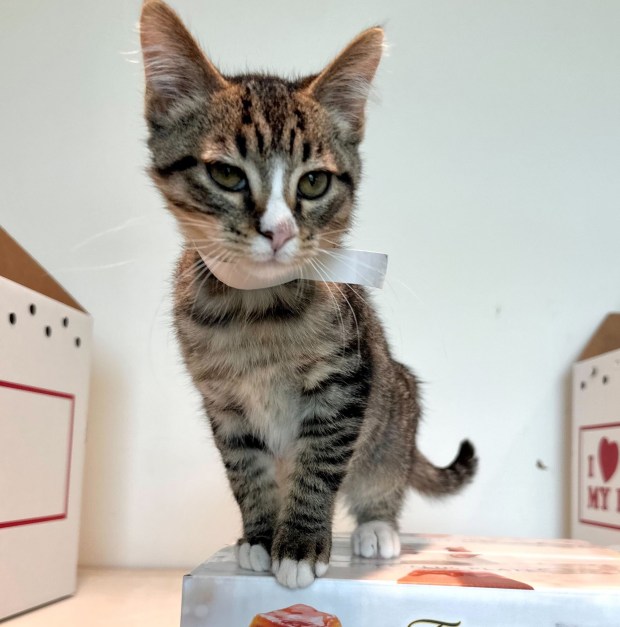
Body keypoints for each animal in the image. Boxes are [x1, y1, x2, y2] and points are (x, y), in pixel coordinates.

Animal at [142, 0, 480, 592]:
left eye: (314, 183)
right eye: (226, 174)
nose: (278, 231)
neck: (253, 310)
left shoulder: (345, 381)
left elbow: (320, 461)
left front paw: (299, 546)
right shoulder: (223, 403)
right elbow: (245, 469)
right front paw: (260, 538)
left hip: (392, 414)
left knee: (381, 475)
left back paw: (377, 528)